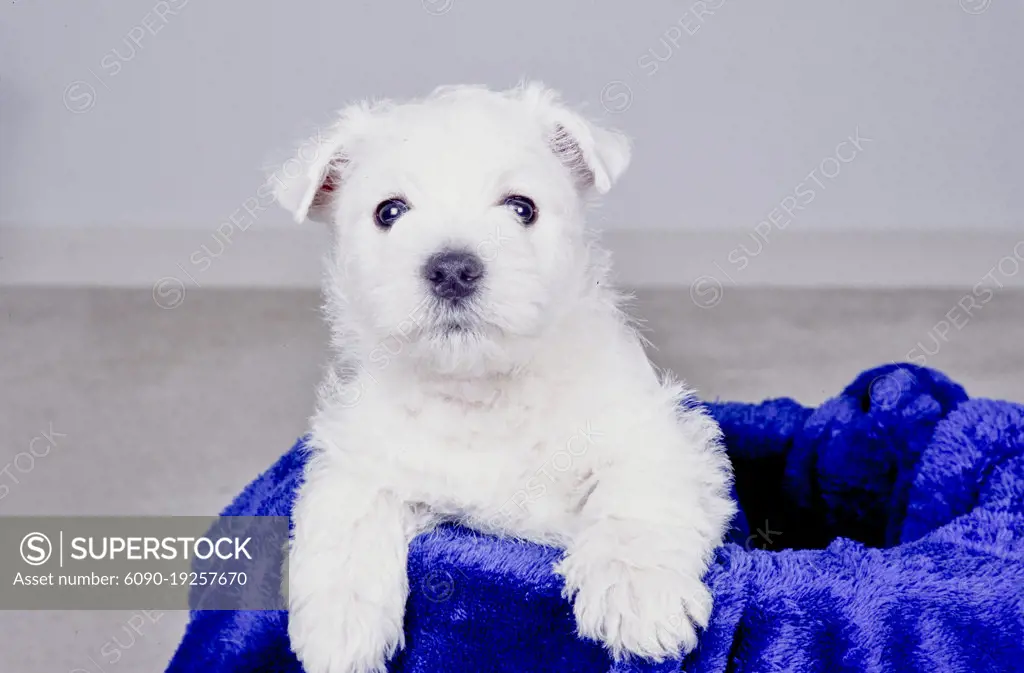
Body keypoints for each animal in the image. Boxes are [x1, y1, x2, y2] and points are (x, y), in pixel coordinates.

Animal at [272, 81, 737, 667]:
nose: (452, 269)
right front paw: (337, 630)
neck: (482, 391)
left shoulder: (653, 432)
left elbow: (635, 496)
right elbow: (347, 510)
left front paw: (637, 595)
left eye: (522, 208)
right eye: (389, 211)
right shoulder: (363, 456)